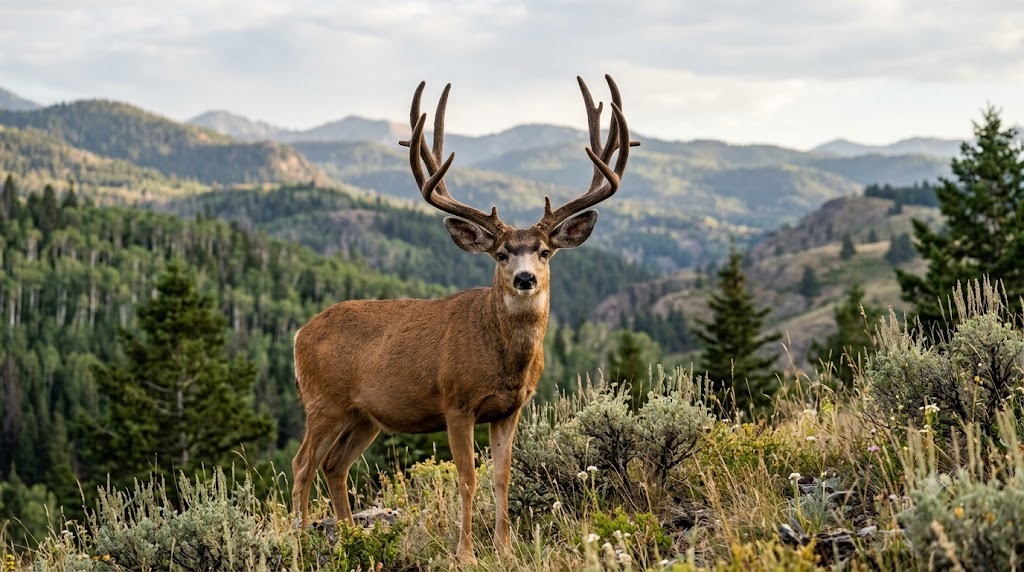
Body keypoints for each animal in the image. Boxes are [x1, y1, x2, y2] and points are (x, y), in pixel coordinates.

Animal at [291, 75, 636, 562]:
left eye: (544, 251)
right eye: (501, 253)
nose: (526, 278)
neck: (502, 360)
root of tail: (300, 333)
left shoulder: (510, 409)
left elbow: (502, 477)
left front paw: (506, 549)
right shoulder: (456, 402)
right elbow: (467, 477)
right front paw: (467, 552)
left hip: (364, 415)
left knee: (333, 465)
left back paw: (353, 539)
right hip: (323, 399)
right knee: (303, 463)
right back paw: (300, 542)